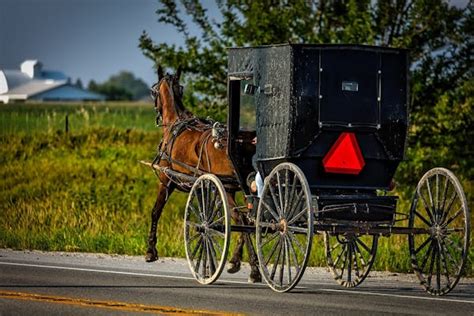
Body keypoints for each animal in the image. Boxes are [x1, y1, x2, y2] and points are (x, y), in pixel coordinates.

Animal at [146, 66, 262, 282]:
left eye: (153, 91)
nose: (156, 112)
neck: (175, 123)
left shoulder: (166, 181)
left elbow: (156, 211)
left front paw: (150, 251)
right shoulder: (204, 186)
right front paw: (211, 263)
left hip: (227, 188)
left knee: (241, 219)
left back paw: (254, 269)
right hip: (240, 188)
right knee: (249, 219)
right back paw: (236, 262)